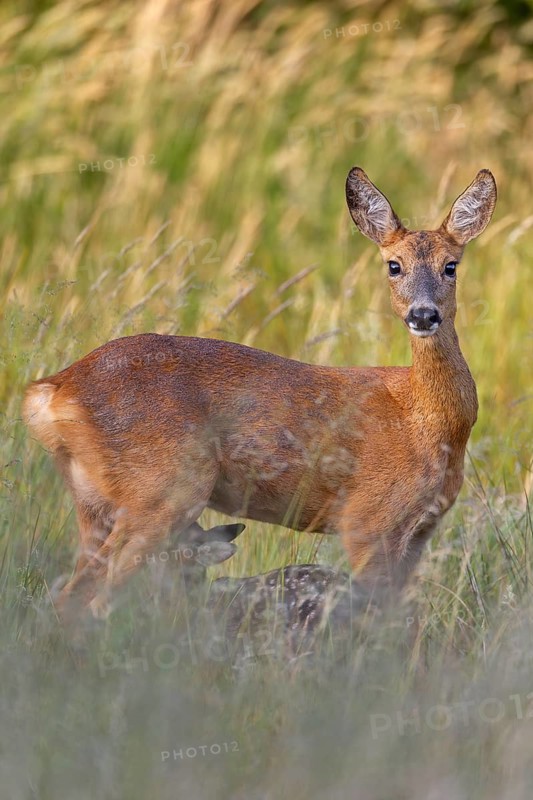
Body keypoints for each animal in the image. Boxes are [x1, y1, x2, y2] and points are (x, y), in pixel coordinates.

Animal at [22, 167, 497, 623]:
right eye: (393, 265)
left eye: (451, 265)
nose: (423, 314)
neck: (428, 422)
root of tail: (52, 389)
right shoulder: (368, 519)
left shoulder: (420, 531)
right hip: (163, 489)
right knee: (96, 600)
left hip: (94, 501)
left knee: (68, 599)